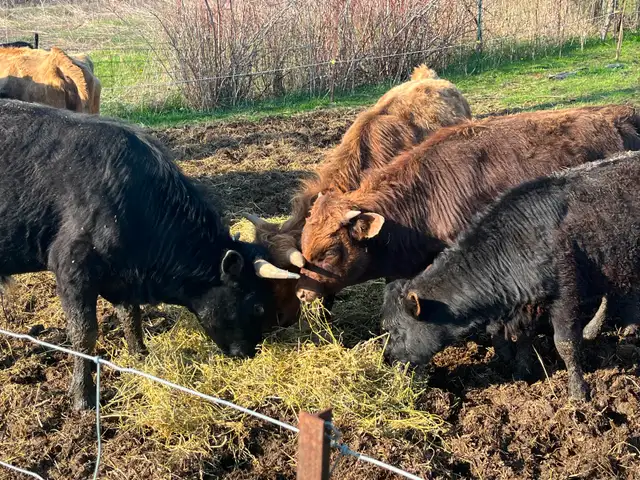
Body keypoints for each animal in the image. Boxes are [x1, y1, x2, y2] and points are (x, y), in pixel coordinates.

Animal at [0, 99, 299, 410]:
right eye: (258, 306)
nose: (251, 352)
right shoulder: (73, 270)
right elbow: (84, 334)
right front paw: (83, 397)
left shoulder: (120, 278)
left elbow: (131, 316)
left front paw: (140, 356)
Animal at [380, 151, 640, 401]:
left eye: (397, 330)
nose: (389, 360)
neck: (517, 242)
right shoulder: (527, 304)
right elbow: (524, 337)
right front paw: (523, 373)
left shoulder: (565, 295)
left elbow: (565, 344)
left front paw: (578, 392)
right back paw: (594, 330)